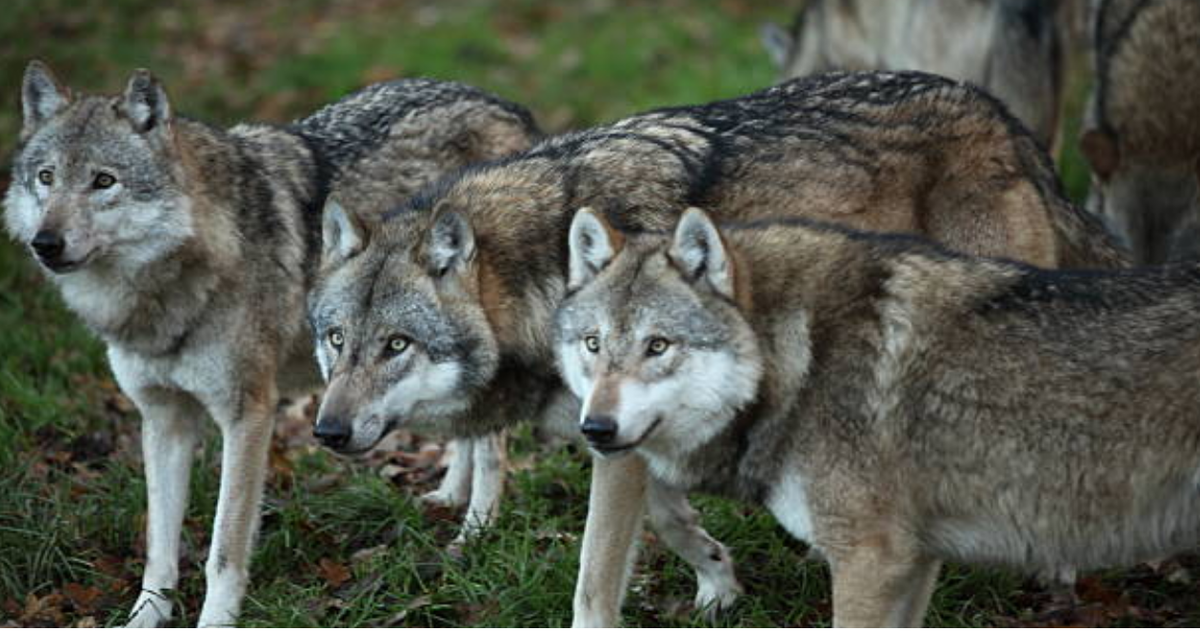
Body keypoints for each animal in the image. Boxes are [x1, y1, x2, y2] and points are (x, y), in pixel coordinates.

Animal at [3, 59, 540, 628]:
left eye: (104, 181)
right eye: (46, 178)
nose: (45, 243)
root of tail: (506, 104)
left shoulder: (248, 416)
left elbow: (223, 547)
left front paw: (214, 620)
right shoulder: (163, 418)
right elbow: (159, 546)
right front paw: (145, 618)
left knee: (493, 450)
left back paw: (473, 533)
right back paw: (447, 495)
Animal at [302, 70, 1123, 628]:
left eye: (397, 344)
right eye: (337, 340)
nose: (327, 431)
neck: (542, 271)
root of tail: (1003, 118)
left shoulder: (616, 442)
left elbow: (595, 574)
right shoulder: (628, 433)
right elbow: (672, 520)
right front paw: (719, 583)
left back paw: (1058, 567)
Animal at [556, 207, 1200, 628]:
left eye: (657, 346)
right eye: (593, 344)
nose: (596, 429)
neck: (800, 358)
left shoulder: (870, 560)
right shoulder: (914, 562)